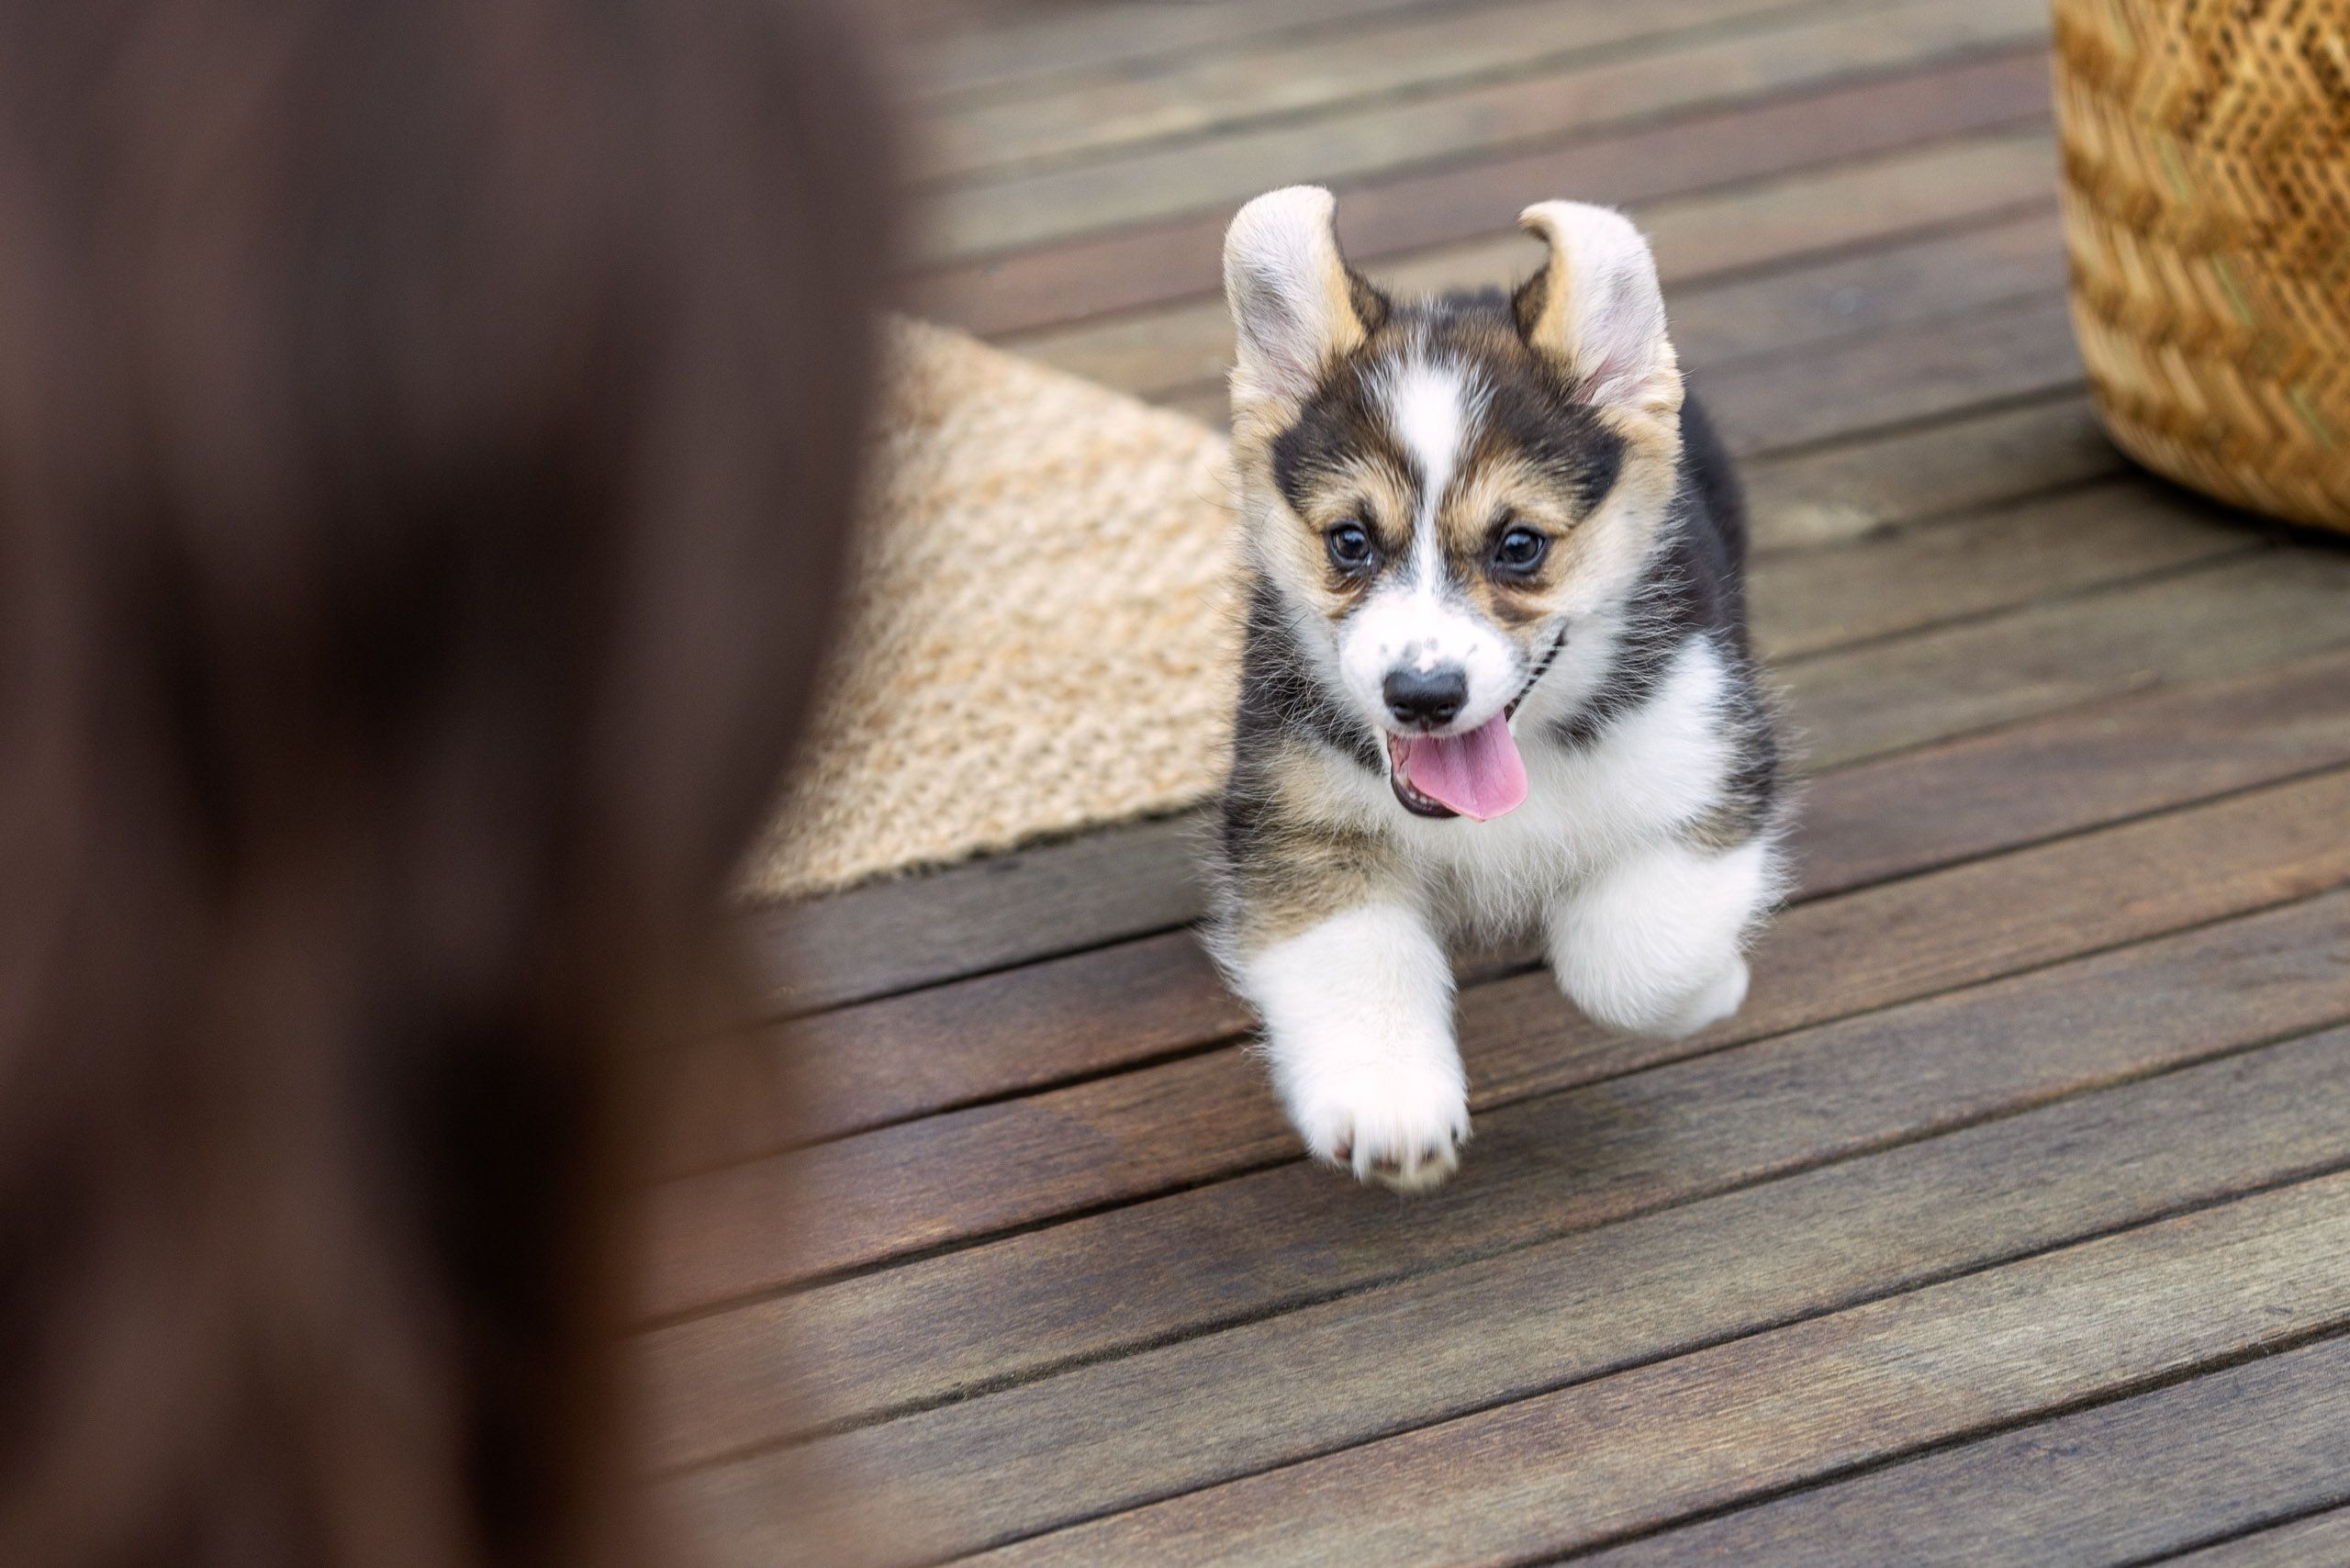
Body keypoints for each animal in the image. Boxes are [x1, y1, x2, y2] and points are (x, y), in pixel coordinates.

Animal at [1212, 186, 1776, 1189]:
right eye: (1349, 541)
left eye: (1520, 545)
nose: (1422, 696)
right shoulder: (1299, 829)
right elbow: (1350, 959)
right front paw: (1389, 1104)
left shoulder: (1706, 765)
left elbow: (1633, 964)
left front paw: (1716, 988)